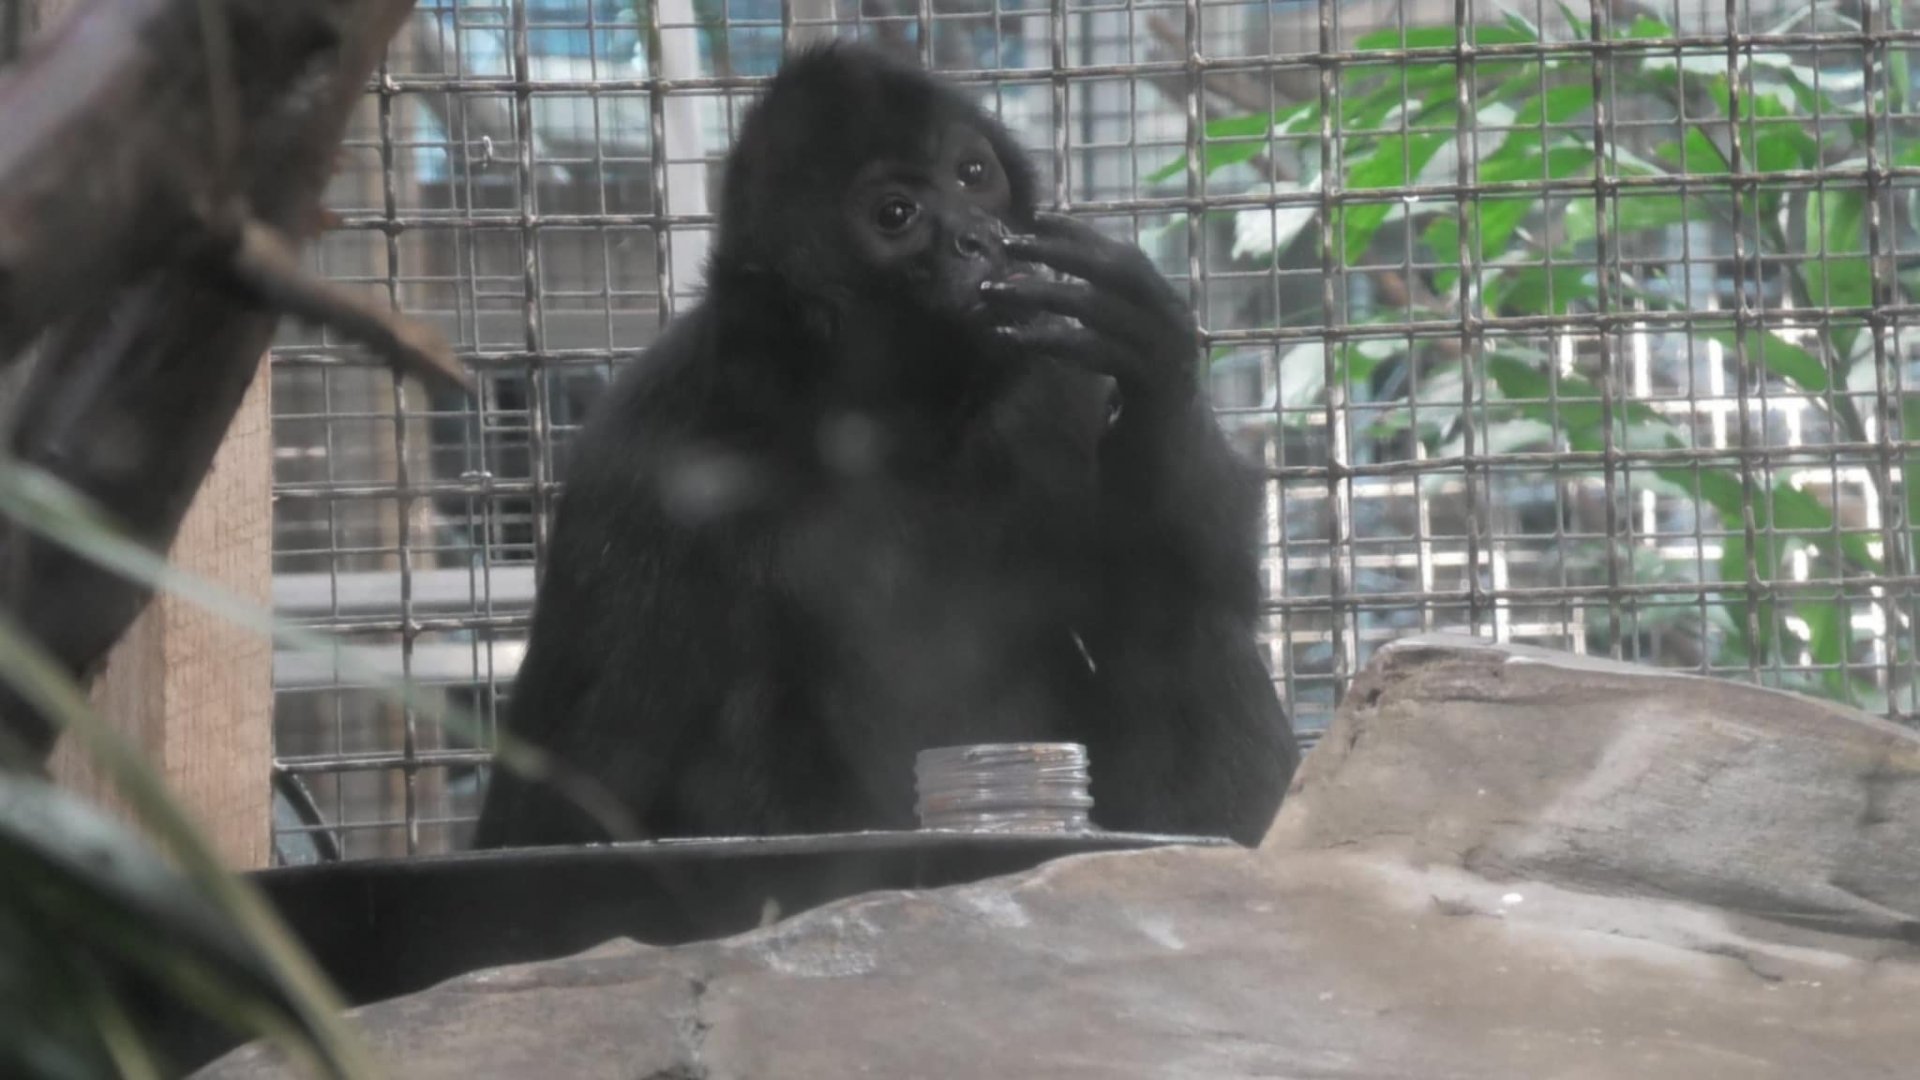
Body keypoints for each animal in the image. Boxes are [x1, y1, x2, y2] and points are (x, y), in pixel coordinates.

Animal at [471, 41, 1299, 850]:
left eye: (973, 175)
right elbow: (555, 801)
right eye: (895, 214)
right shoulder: (643, 454)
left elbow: (1216, 582)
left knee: (1186, 624)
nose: (976, 236)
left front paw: (1154, 365)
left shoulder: (1058, 378)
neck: (882, 433)